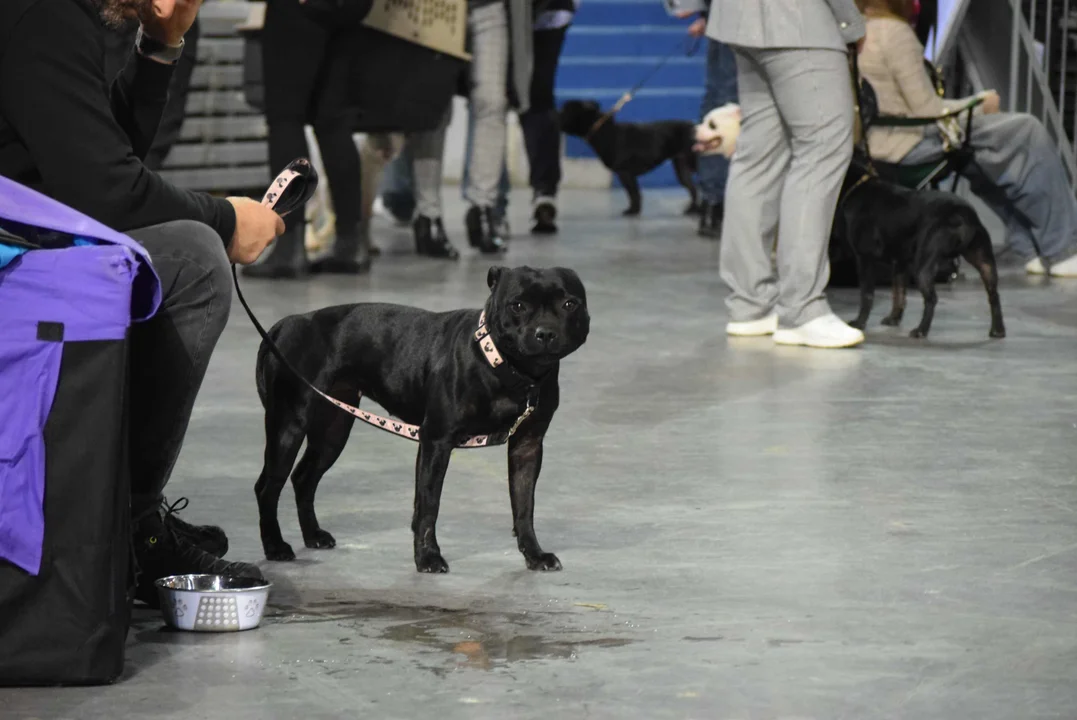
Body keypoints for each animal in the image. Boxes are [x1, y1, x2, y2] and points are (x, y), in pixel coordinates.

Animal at [252, 263, 590, 572]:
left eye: (570, 304)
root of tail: (285, 324)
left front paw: (534, 554)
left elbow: (524, 505)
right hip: (288, 426)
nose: (545, 333)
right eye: (517, 305)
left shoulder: (527, 446)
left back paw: (313, 536)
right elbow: (428, 504)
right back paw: (275, 546)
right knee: (268, 486)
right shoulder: (436, 441)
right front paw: (428, 557)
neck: (507, 367)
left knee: (304, 477)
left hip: (333, 430)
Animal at [560, 98, 702, 216]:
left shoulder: (625, 174)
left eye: (566, 111)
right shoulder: (628, 175)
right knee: (693, 189)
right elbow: (634, 194)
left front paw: (633, 211)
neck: (604, 131)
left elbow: (633, 194)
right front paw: (635, 210)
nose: (556, 114)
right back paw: (693, 210)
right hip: (682, 168)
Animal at [835, 165, 1003, 340]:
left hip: (922, 267)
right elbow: (899, 291)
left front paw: (859, 323)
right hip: (984, 262)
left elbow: (867, 294)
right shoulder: (900, 262)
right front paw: (894, 318)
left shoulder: (864, 258)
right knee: (993, 294)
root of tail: (961, 214)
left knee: (931, 298)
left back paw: (921, 330)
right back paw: (997, 330)